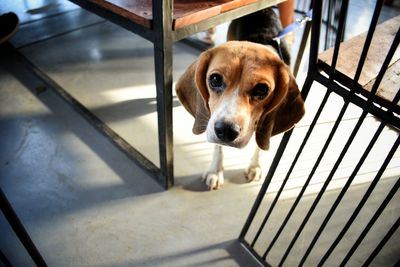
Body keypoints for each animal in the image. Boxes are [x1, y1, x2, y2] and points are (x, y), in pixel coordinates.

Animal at [177, 7, 304, 191]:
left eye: (262, 89)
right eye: (215, 79)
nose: (226, 130)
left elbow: (260, 144)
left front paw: (255, 166)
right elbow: (218, 147)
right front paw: (215, 170)